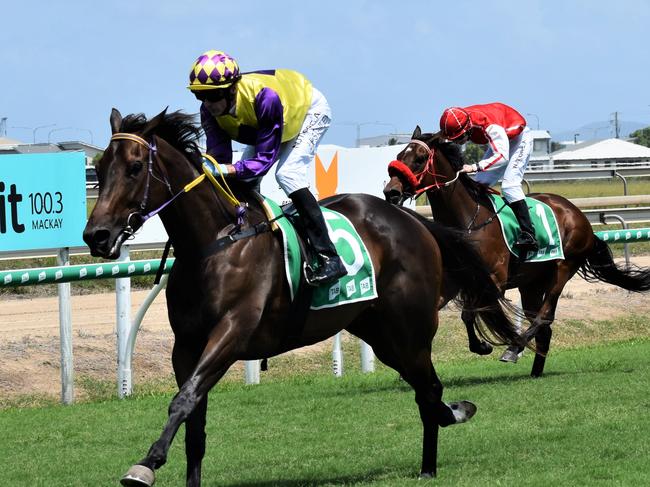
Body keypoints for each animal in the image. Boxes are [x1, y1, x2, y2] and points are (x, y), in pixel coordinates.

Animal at [85, 108, 520, 486]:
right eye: (100, 169)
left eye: (135, 168)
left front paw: (146, 464)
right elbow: (194, 421)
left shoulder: (231, 333)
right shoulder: (186, 345)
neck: (214, 244)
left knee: (430, 390)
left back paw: (432, 461)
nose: (96, 236)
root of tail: (413, 219)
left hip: (410, 329)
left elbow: (183, 399)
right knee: (425, 390)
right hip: (379, 333)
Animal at [382, 126, 648, 378]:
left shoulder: (493, 280)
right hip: (531, 284)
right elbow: (439, 309)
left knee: (544, 316)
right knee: (543, 326)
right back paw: (535, 371)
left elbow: (470, 313)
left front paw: (483, 346)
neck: (468, 220)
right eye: (399, 155)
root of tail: (579, 216)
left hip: (563, 268)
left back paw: (514, 349)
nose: (391, 192)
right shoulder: (455, 280)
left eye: (419, 159)